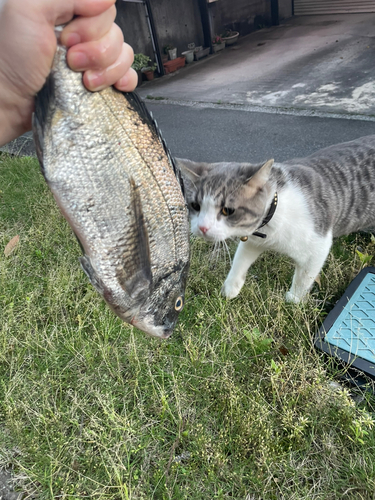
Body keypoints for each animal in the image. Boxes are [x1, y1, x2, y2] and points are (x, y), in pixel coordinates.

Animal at [178, 135, 375, 302]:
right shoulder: (254, 240)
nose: (202, 227)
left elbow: (304, 278)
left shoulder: (318, 245)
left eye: (228, 210)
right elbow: (239, 261)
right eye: (195, 206)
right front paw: (230, 289)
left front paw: (293, 301)